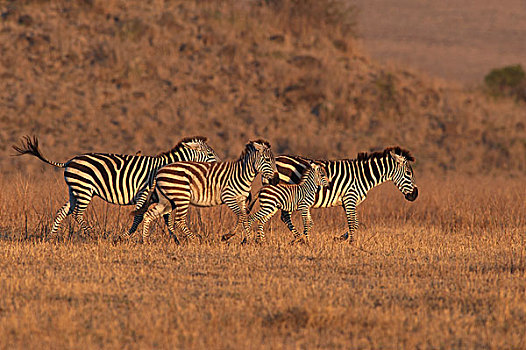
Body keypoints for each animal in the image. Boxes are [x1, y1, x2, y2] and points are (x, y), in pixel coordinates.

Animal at [12, 134, 220, 238]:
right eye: (210, 153)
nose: (220, 163)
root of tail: (69, 161)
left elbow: (167, 219)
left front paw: (174, 238)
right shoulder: (144, 192)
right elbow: (139, 216)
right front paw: (127, 236)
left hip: (74, 190)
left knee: (63, 211)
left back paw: (51, 237)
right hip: (84, 189)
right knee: (77, 213)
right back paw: (91, 235)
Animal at [135, 139, 280, 243]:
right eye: (267, 160)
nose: (276, 180)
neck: (242, 174)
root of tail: (159, 171)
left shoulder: (241, 199)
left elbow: (244, 217)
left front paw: (241, 237)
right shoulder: (228, 197)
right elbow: (242, 216)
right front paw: (237, 237)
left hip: (167, 200)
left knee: (148, 215)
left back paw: (145, 240)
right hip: (182, 197)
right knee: (179, 220)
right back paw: (195, 239)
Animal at [258, 146, 418, 242]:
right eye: (409, 173)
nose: (415, 195)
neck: (363, 176)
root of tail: (275, 160)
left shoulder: (347, 202)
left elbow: (355, 223)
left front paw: (341, 238)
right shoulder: (350, 198)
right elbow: (353, 223)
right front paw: (351, 242)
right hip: (285, 194)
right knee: (284, 217)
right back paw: (300, 239)